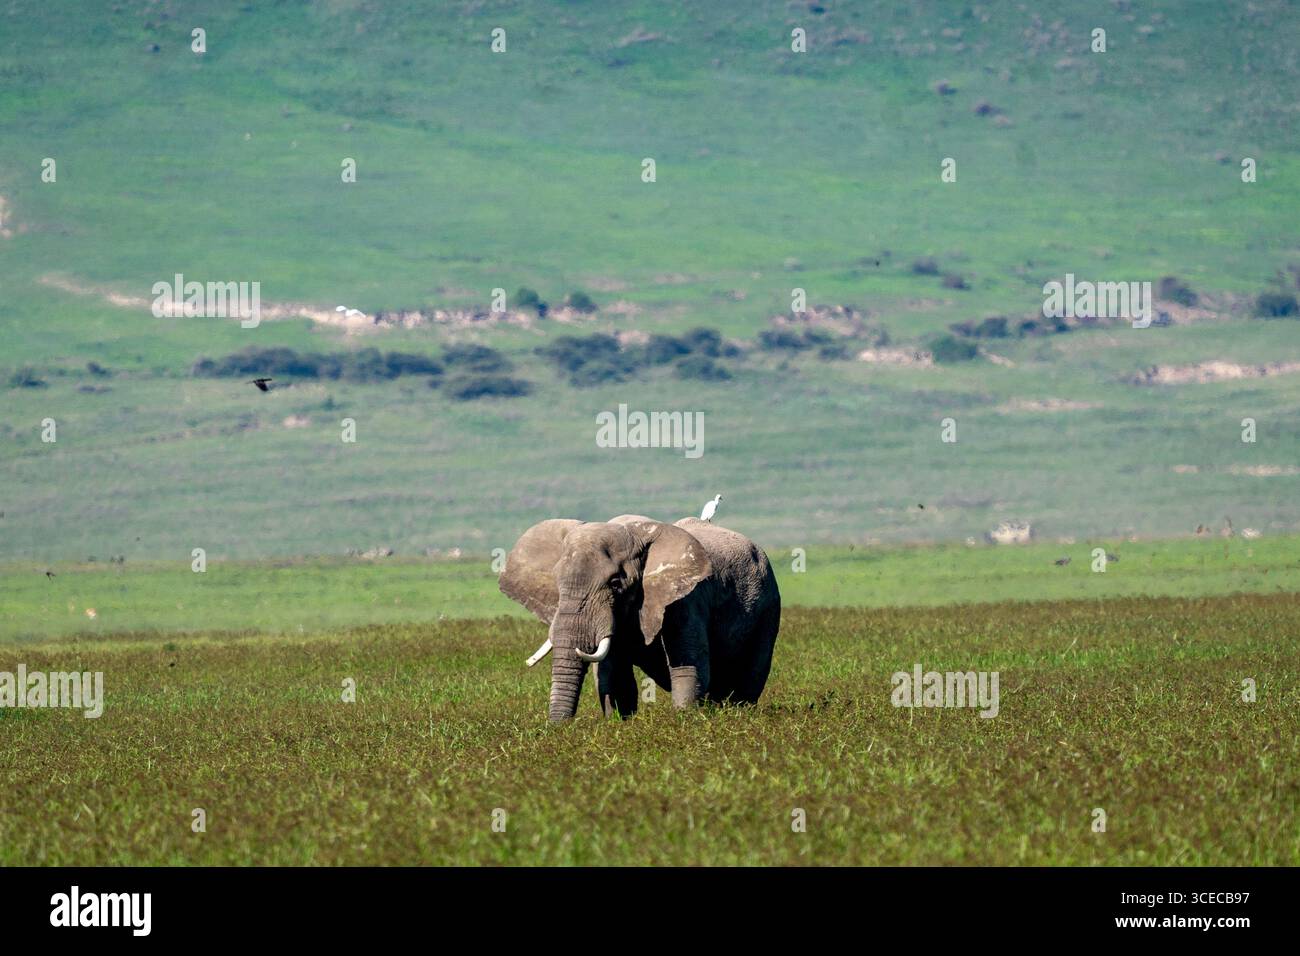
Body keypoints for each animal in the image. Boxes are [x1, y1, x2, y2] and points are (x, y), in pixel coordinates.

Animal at [499, 514, 781, 721]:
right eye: (557, 582)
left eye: (615, 583)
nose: (559, 729)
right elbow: (613, 676)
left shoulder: (686, 599)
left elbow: (689, 667)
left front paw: (683, 722)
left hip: (769, 606)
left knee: (750, 677)